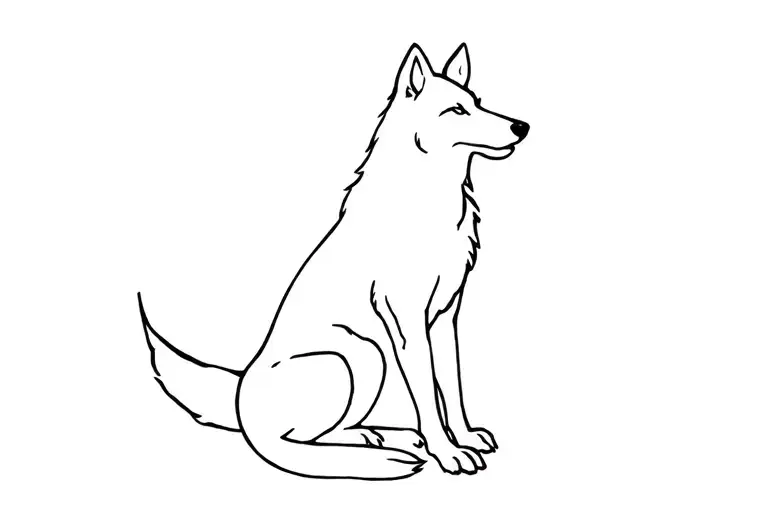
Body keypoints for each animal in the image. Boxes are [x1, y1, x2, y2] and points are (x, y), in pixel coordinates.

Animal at [139, 43, 529, 480]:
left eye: (477, 104)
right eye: (457, 111)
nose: (522, 126)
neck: (425, 202)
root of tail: (240, 404)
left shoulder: (445, 319)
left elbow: (453, 389)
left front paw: (463, 438)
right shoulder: (408, 325)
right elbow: (427, 397)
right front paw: (448, 453)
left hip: (371, 360)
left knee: (330, 431)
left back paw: (382, 436)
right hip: (357, 353)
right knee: (291, 446)